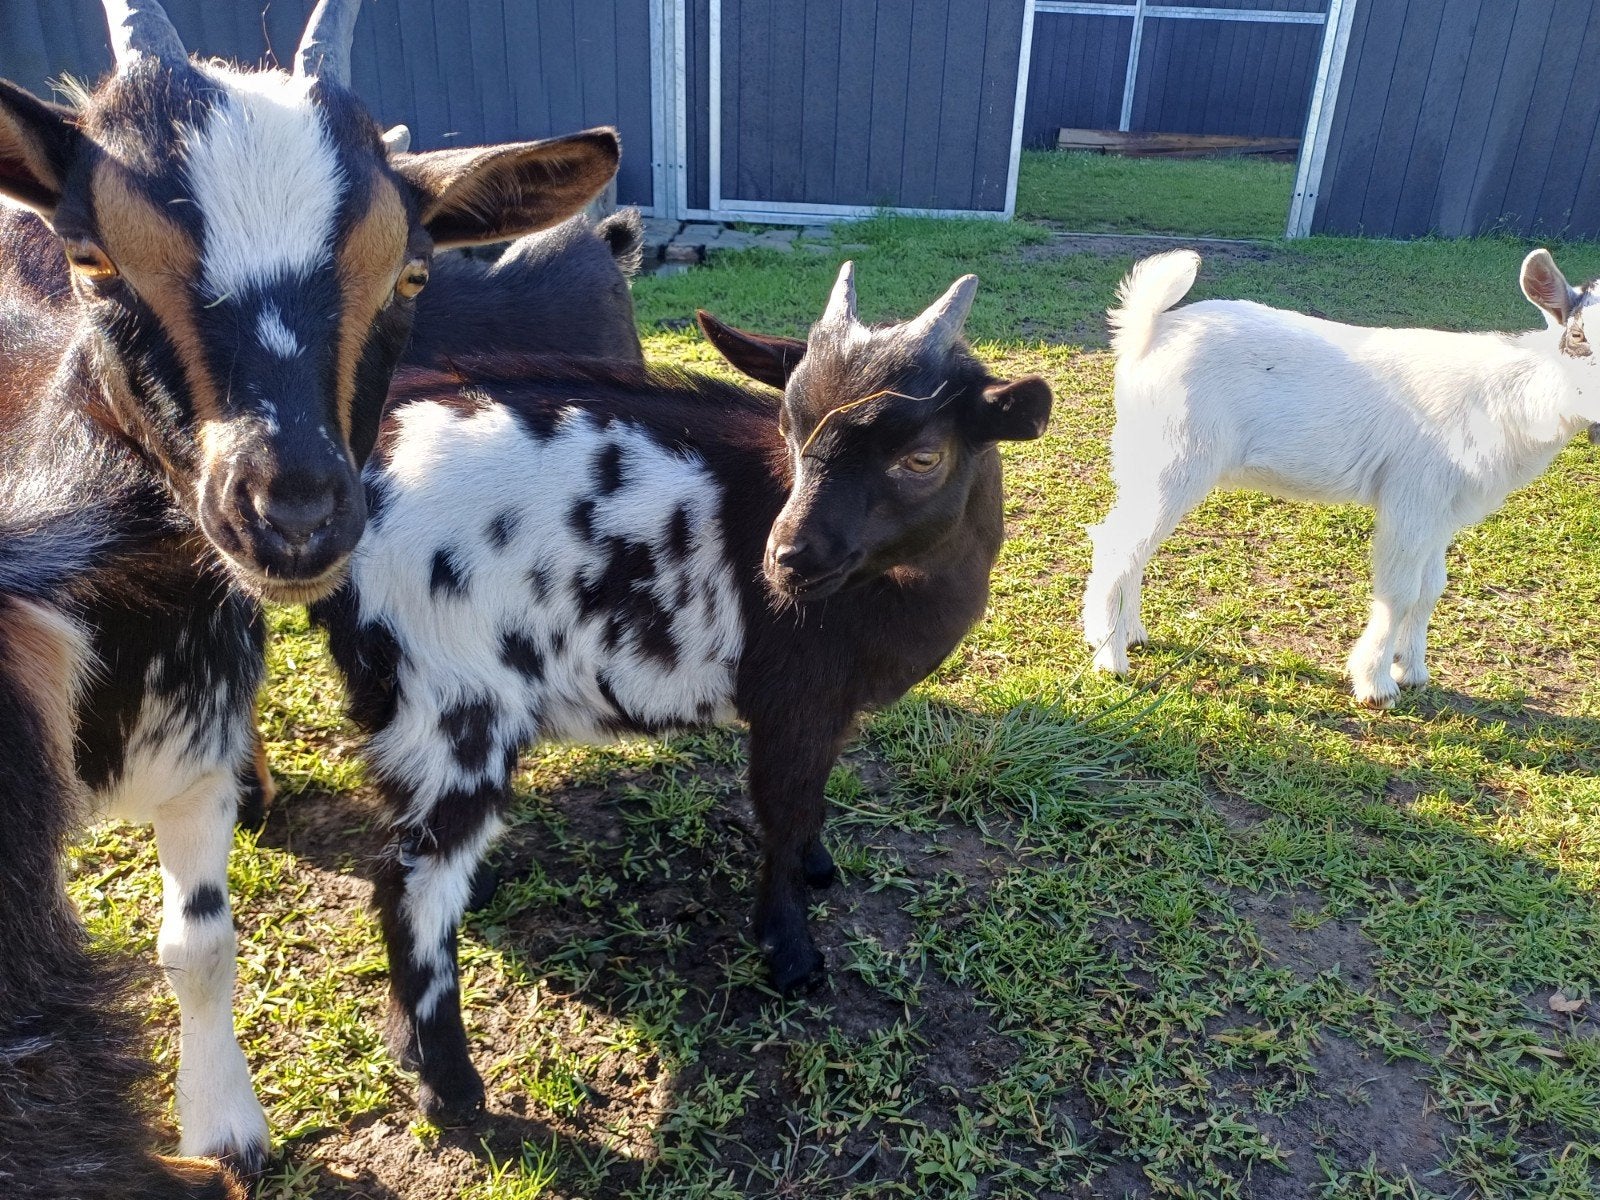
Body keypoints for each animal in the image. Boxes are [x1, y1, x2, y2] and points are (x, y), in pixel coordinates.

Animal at [0, 0, 618, 1170]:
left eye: (410, 273)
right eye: (93, 256)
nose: (290, 514)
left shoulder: (190, 742)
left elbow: (196, 944)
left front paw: (227, 1128)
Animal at [311, 263, 1053, 1121]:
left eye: (923, 457)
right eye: (789, 426)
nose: (786, 560)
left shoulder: (828, 712)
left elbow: (813, 802)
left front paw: (819, 866)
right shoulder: (792, 700)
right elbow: (782, 810)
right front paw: (790, 952)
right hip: (454, 706)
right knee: (411, 882)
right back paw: (450, 1085)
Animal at [1085, 248, 1600, 705]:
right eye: (1577, 336)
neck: (1506, 398)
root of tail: (1151, 330)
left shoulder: (1441, 509)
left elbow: (1432, 586)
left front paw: (1413, 670)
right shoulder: (1411, 494)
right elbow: (1400, 590)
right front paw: (1376, 684)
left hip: (1146, 460)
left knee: (1133, 544)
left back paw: (1131, 634)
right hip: (1174, 457)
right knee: (1118, 542)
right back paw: (1109, 657)